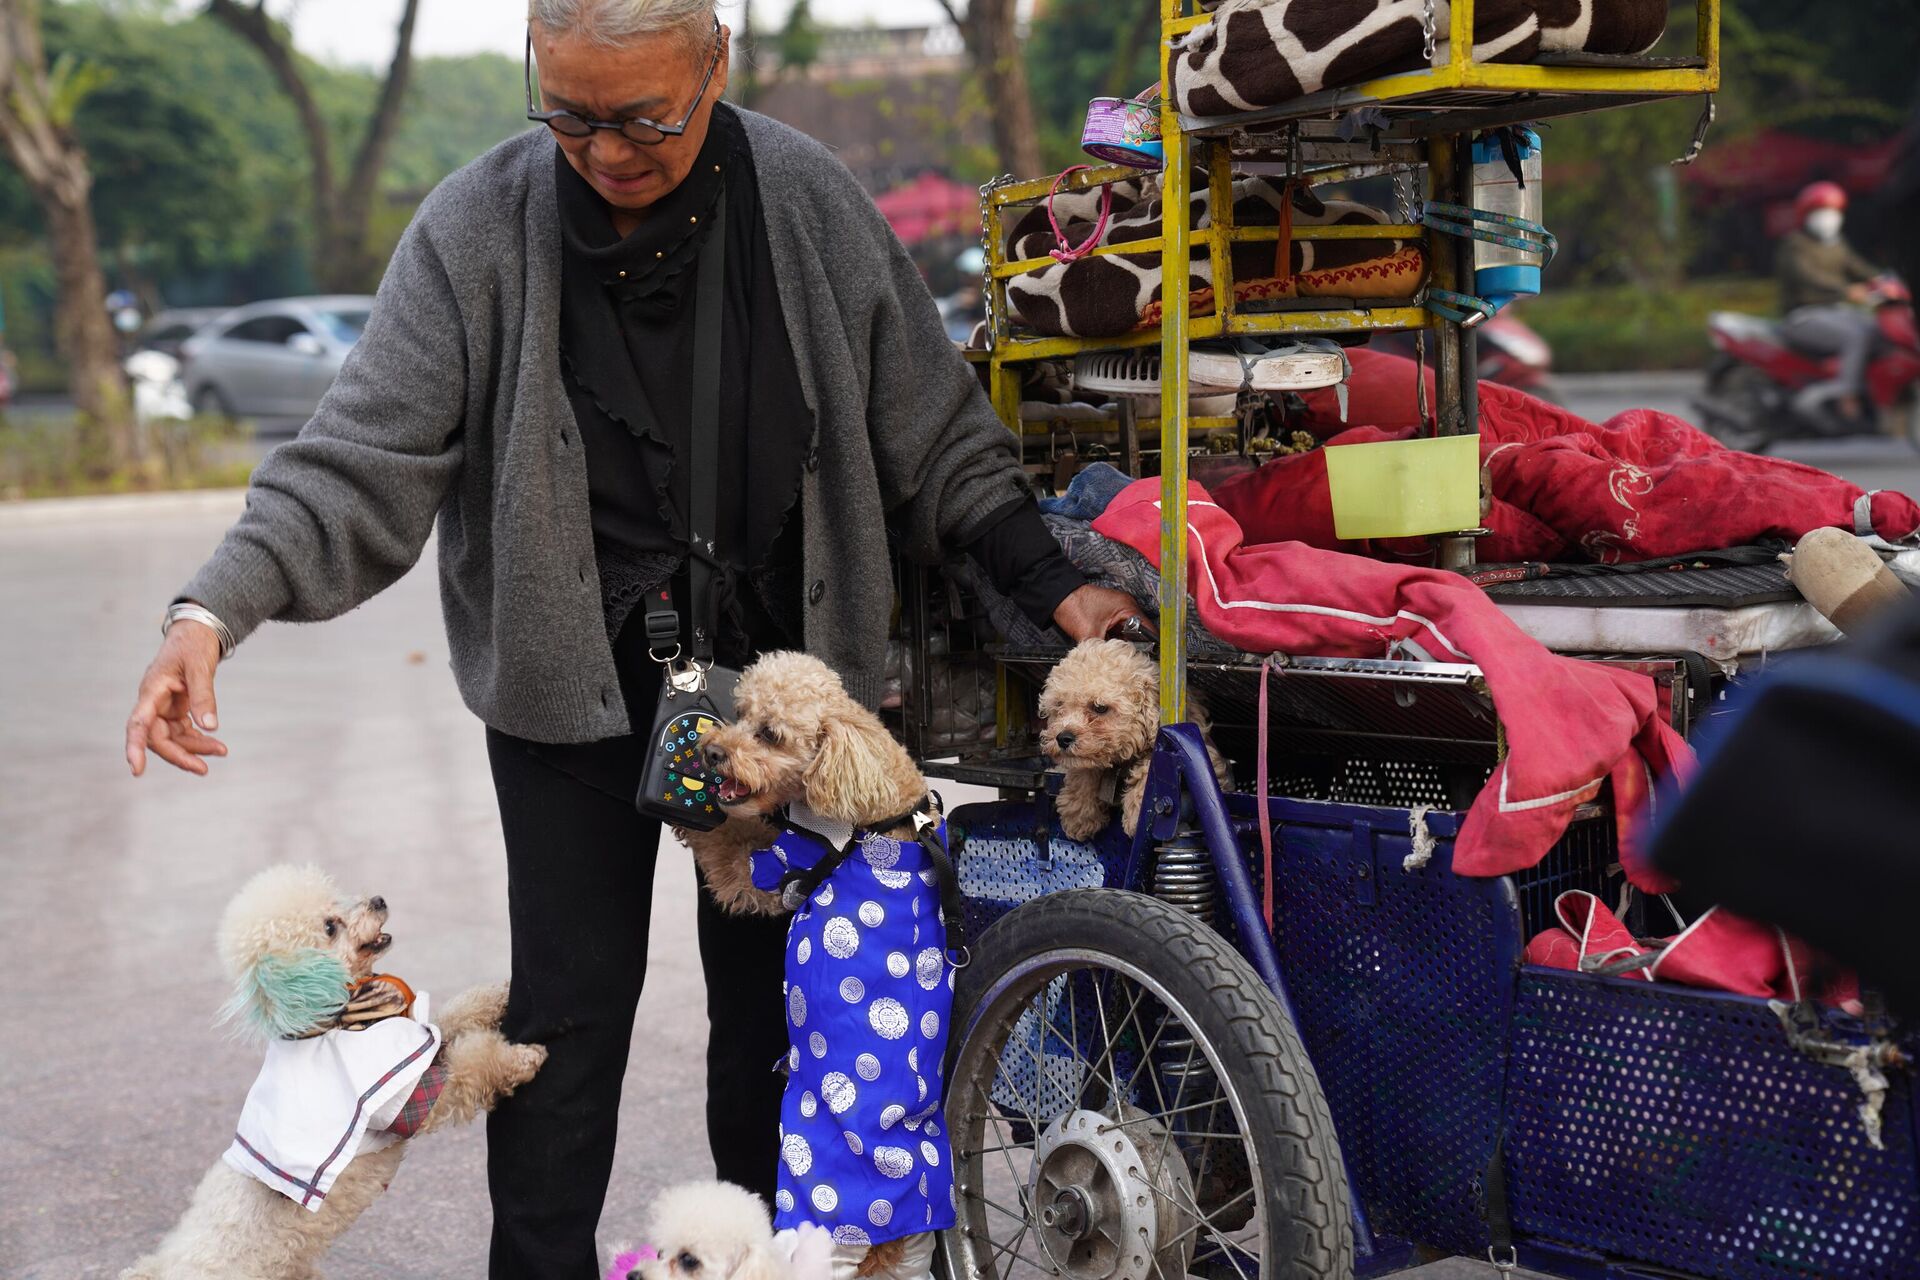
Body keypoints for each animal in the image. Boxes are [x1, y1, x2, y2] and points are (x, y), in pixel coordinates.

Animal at [124, 859, 549, 1280]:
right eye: (330, 927)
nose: (378, 900)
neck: (336, 1020)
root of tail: (166, 1267)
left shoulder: (419, 1051)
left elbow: (459, 1013)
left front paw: (500, 994)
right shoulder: (411, 1092)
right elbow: (470, 1068)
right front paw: (523, 1059)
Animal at [1036, 637, 1228, 840]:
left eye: (1100, 707)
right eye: (1059, 705)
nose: (1063, 738)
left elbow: (1152, 766)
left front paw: (1138, 818)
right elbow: (1084, 770)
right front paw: (1079, 814)